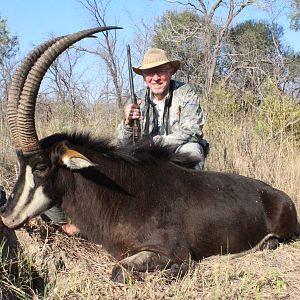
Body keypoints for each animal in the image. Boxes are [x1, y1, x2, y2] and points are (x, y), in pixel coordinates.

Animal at [1, 27, 298, 282]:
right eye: (20, 164)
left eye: (40, 167)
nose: (6, 214)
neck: (118, 193)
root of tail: (279, 195)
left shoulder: (171, 250)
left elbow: (121, 271)